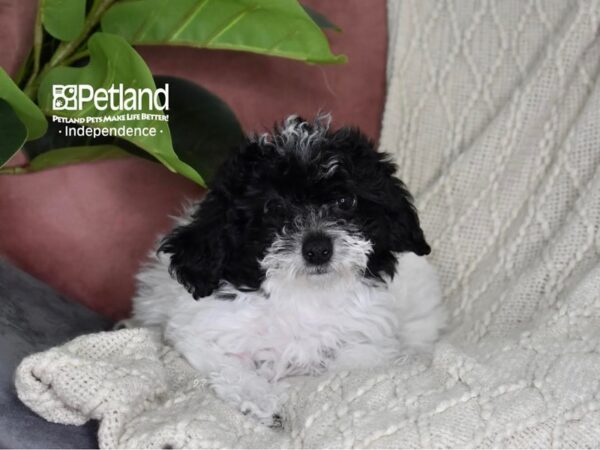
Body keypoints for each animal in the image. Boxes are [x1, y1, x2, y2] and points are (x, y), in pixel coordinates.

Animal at [135, 115, 446, 426]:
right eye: (273, 207)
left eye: (345, 201)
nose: (318, 249)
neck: (302, 295)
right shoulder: (205, 330)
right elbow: (231, 363)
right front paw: (259, 398)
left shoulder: (368, 342)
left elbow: (348, 361)